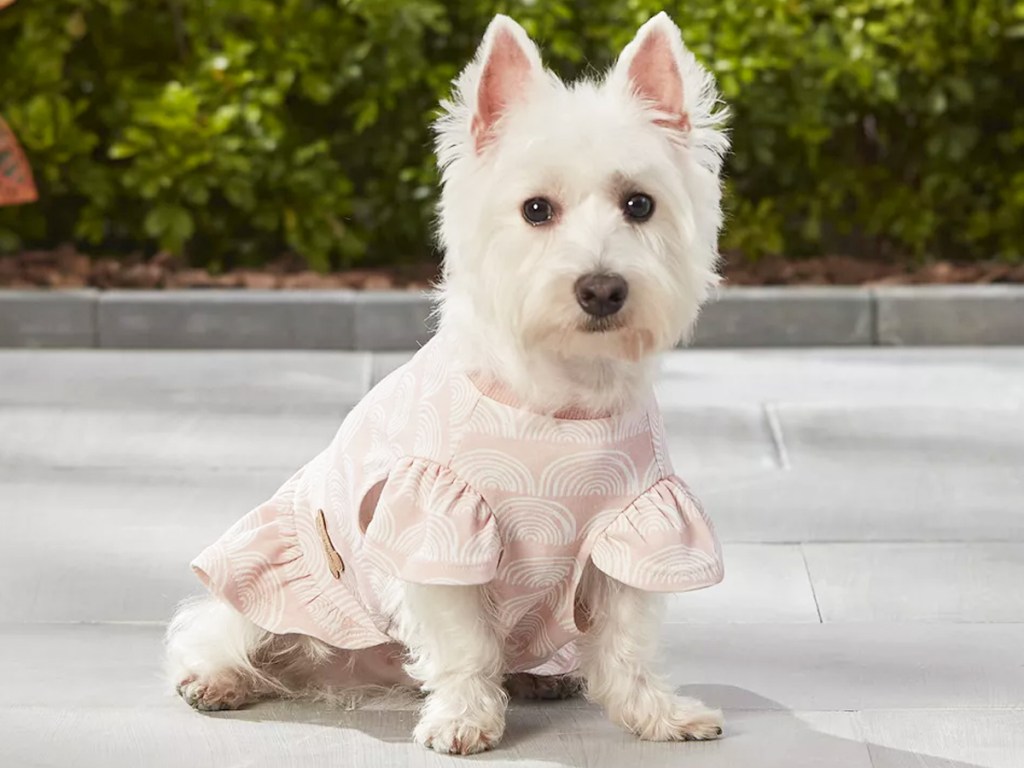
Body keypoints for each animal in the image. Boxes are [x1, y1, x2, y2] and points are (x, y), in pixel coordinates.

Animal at [167, 12, 729, 757]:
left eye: (640, 204)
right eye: (536, 210)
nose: (602, 288)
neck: (560, 404)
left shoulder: (637, 524)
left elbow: (628, 642)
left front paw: (660, 714)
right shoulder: (437, 523)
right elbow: (463, 644)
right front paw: (463, 719)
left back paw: (541, 675)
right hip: (267, 567)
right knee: (221, 627)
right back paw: (220, 679)